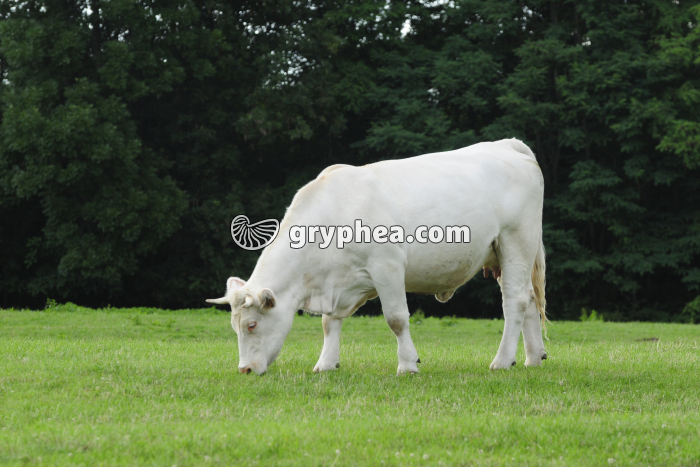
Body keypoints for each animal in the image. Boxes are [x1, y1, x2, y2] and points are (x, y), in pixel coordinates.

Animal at [207, 138, 547, 375]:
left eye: (251, 325)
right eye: (234, 327)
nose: (245, 369)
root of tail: (508, 144)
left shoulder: (387, 267)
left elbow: (396, 319)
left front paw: (408, 365)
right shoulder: (339, 281)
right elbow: (330, 322)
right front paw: (326, 364)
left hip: (516, 241)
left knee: (515, 301)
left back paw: (503, 360)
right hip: (504, 254)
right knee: (530, 298)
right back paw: (533, 357)